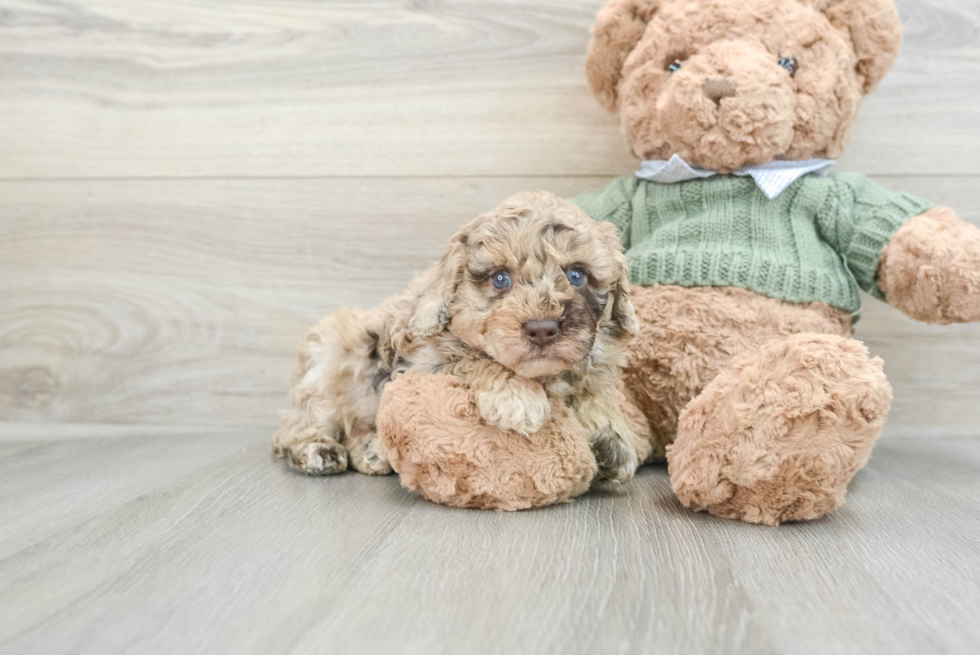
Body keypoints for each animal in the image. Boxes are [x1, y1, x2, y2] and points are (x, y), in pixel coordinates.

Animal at [274, 190, 644, 482]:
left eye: (577, 274)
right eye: (500, 279)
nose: (542, 328)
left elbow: (596, 390)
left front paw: (612, 438)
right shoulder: (426, 361)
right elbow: (473, 356)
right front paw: (517, 398)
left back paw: (372, 450)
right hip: (324, 370)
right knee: (301, 425)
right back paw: (317, 449)